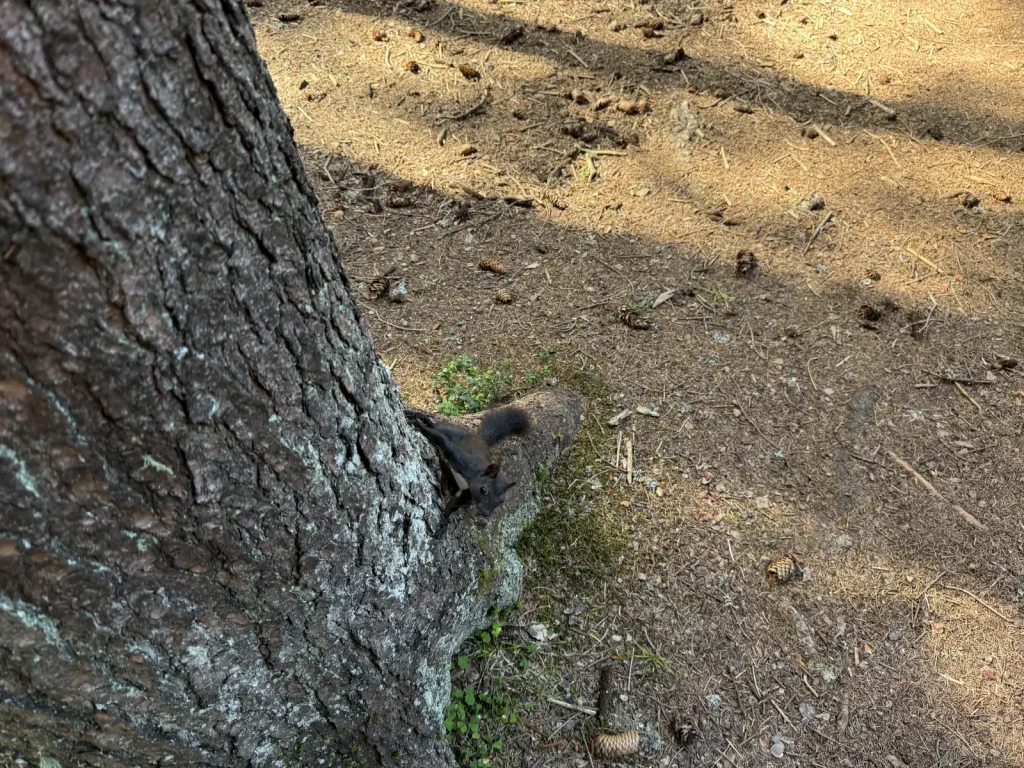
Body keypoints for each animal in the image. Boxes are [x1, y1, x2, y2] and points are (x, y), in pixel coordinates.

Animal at [407, 406, 531, 538]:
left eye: (501, 501)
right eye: (483, 490)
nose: (485, 513)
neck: (472, 477)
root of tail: (479, 439)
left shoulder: (467, 492)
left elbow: (455, 503)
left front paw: (444, 520)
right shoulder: (462, 461)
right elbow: (443, 441)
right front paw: (419, 425)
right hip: (455, 433)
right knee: (438, 427)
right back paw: (422, 418)